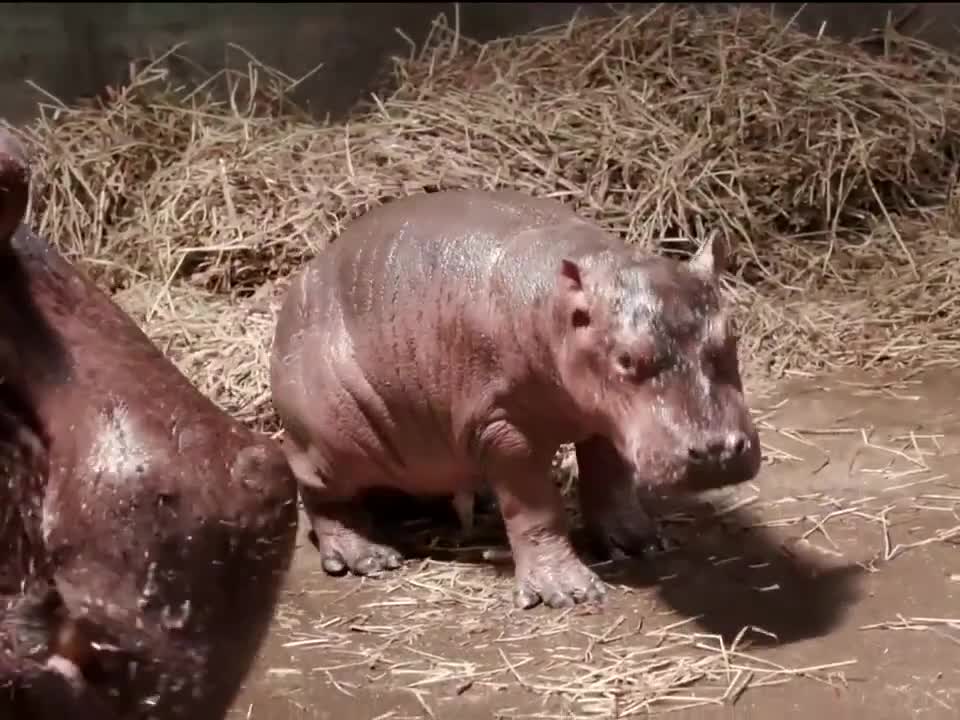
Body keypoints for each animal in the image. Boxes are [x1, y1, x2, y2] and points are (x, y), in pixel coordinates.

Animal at [274, 188, 760, 612]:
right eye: (625, 357)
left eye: (732, 334)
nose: (718, 450)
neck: (562, 310)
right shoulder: (504, 427)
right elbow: (535, 508)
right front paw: (569, 593)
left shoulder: (607, 416)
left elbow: (610, 477)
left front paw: (643, 542)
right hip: (332, 439)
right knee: (320, 492)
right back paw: (368, 558)